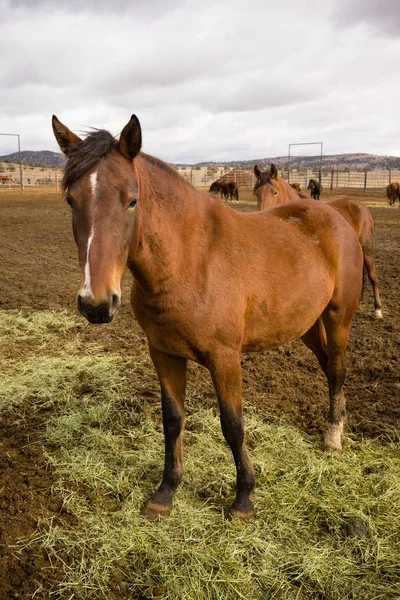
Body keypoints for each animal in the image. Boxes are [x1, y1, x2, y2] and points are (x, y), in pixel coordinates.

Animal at [52, 116, 362, 520]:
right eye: (71, 199)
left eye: (132, 200)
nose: (97, 303)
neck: (190, 260)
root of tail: (334, 216)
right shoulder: (164, 353)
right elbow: (172, 420)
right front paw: (165, 492)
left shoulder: (225, 357)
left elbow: (233, 425)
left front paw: (243, 498)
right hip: (307, 325)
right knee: (328, 367)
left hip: (338, 318)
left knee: (338, 369)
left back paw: (333, 436)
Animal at [255, 164, 382, 318]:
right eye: (256, 193)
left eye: (274, 192)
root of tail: (359, 205)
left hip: (367, 247)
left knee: (372, 276)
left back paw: (378, 309)